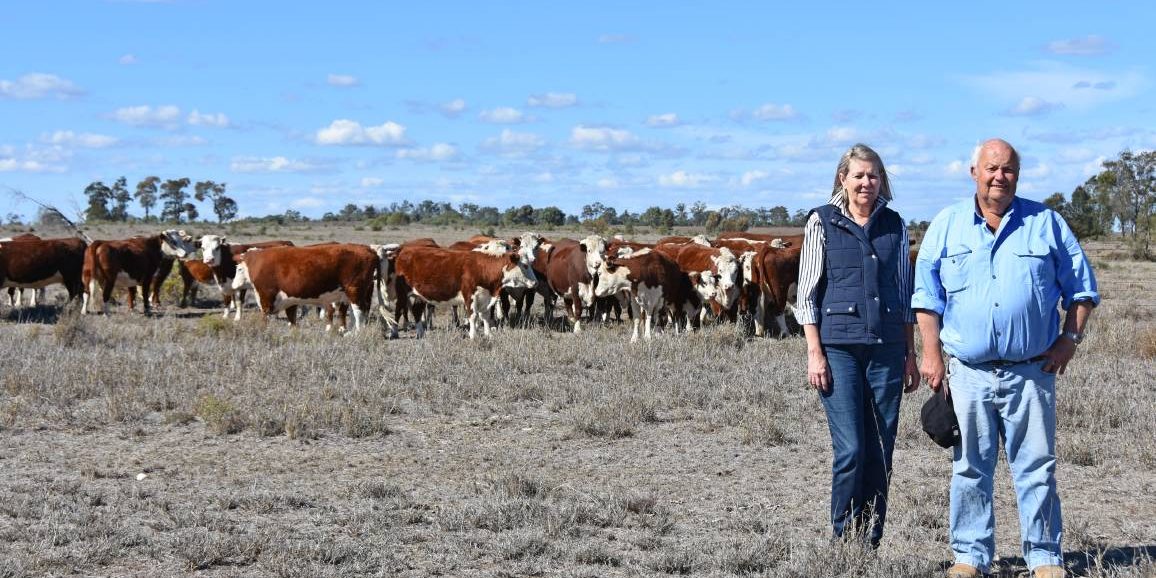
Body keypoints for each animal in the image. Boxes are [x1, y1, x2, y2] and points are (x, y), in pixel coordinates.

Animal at [228, 242, 379, 332]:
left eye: (239, 269)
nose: (233, 286)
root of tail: (367, 249)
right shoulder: (289, 299)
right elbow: (292, 318)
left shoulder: (266, 296)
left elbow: (265, 317)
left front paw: (263, 330)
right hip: (347, 294)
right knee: (351, 312)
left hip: (355, 291)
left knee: (359, 311)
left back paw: (356, 333)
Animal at [386, 243, 534, 337]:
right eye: (525, 265)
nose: (535, 282)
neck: (482, 267)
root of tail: (404, 250)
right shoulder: (469, 295)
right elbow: (473, 316)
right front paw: (473, 335)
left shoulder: (485, 297)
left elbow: (485, 316)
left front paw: (488, 334)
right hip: (402, 292)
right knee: (398, 311)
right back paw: (394, 332)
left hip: (418, 295)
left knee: (417, 312)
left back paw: (420, 333)